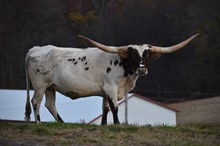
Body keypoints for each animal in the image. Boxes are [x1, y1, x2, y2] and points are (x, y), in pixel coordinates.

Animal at [24, 33, 199, 124]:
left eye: (147, 55)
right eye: (133, 54)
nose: (142, 69)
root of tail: (34, 49)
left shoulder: (105, 91)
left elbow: (105, 109)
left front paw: (104, 125)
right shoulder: (111, 88)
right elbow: (115, 108)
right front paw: (118, 125)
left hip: (51, 87)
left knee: (50, 105)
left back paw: (62, 123)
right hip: (40, 85)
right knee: (36, 102)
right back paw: (38, 123)